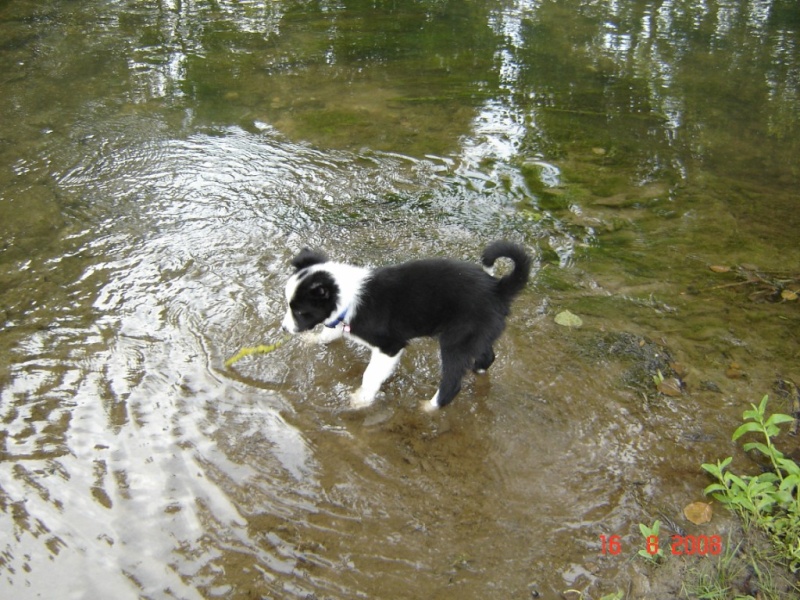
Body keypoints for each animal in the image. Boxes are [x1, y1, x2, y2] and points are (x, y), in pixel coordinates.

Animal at [282, 241, 532, 410]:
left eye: (300, 312)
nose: (284, 329)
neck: (349, 297)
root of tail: (498, 289)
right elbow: (328, 333)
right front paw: (311, 340)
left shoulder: (389, 347)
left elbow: (370, 375)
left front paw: (361, 400)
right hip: (477, 335)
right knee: (487, 356)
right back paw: (477, 370)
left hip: (455, 341)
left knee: (451, 384)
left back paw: (428, 407)